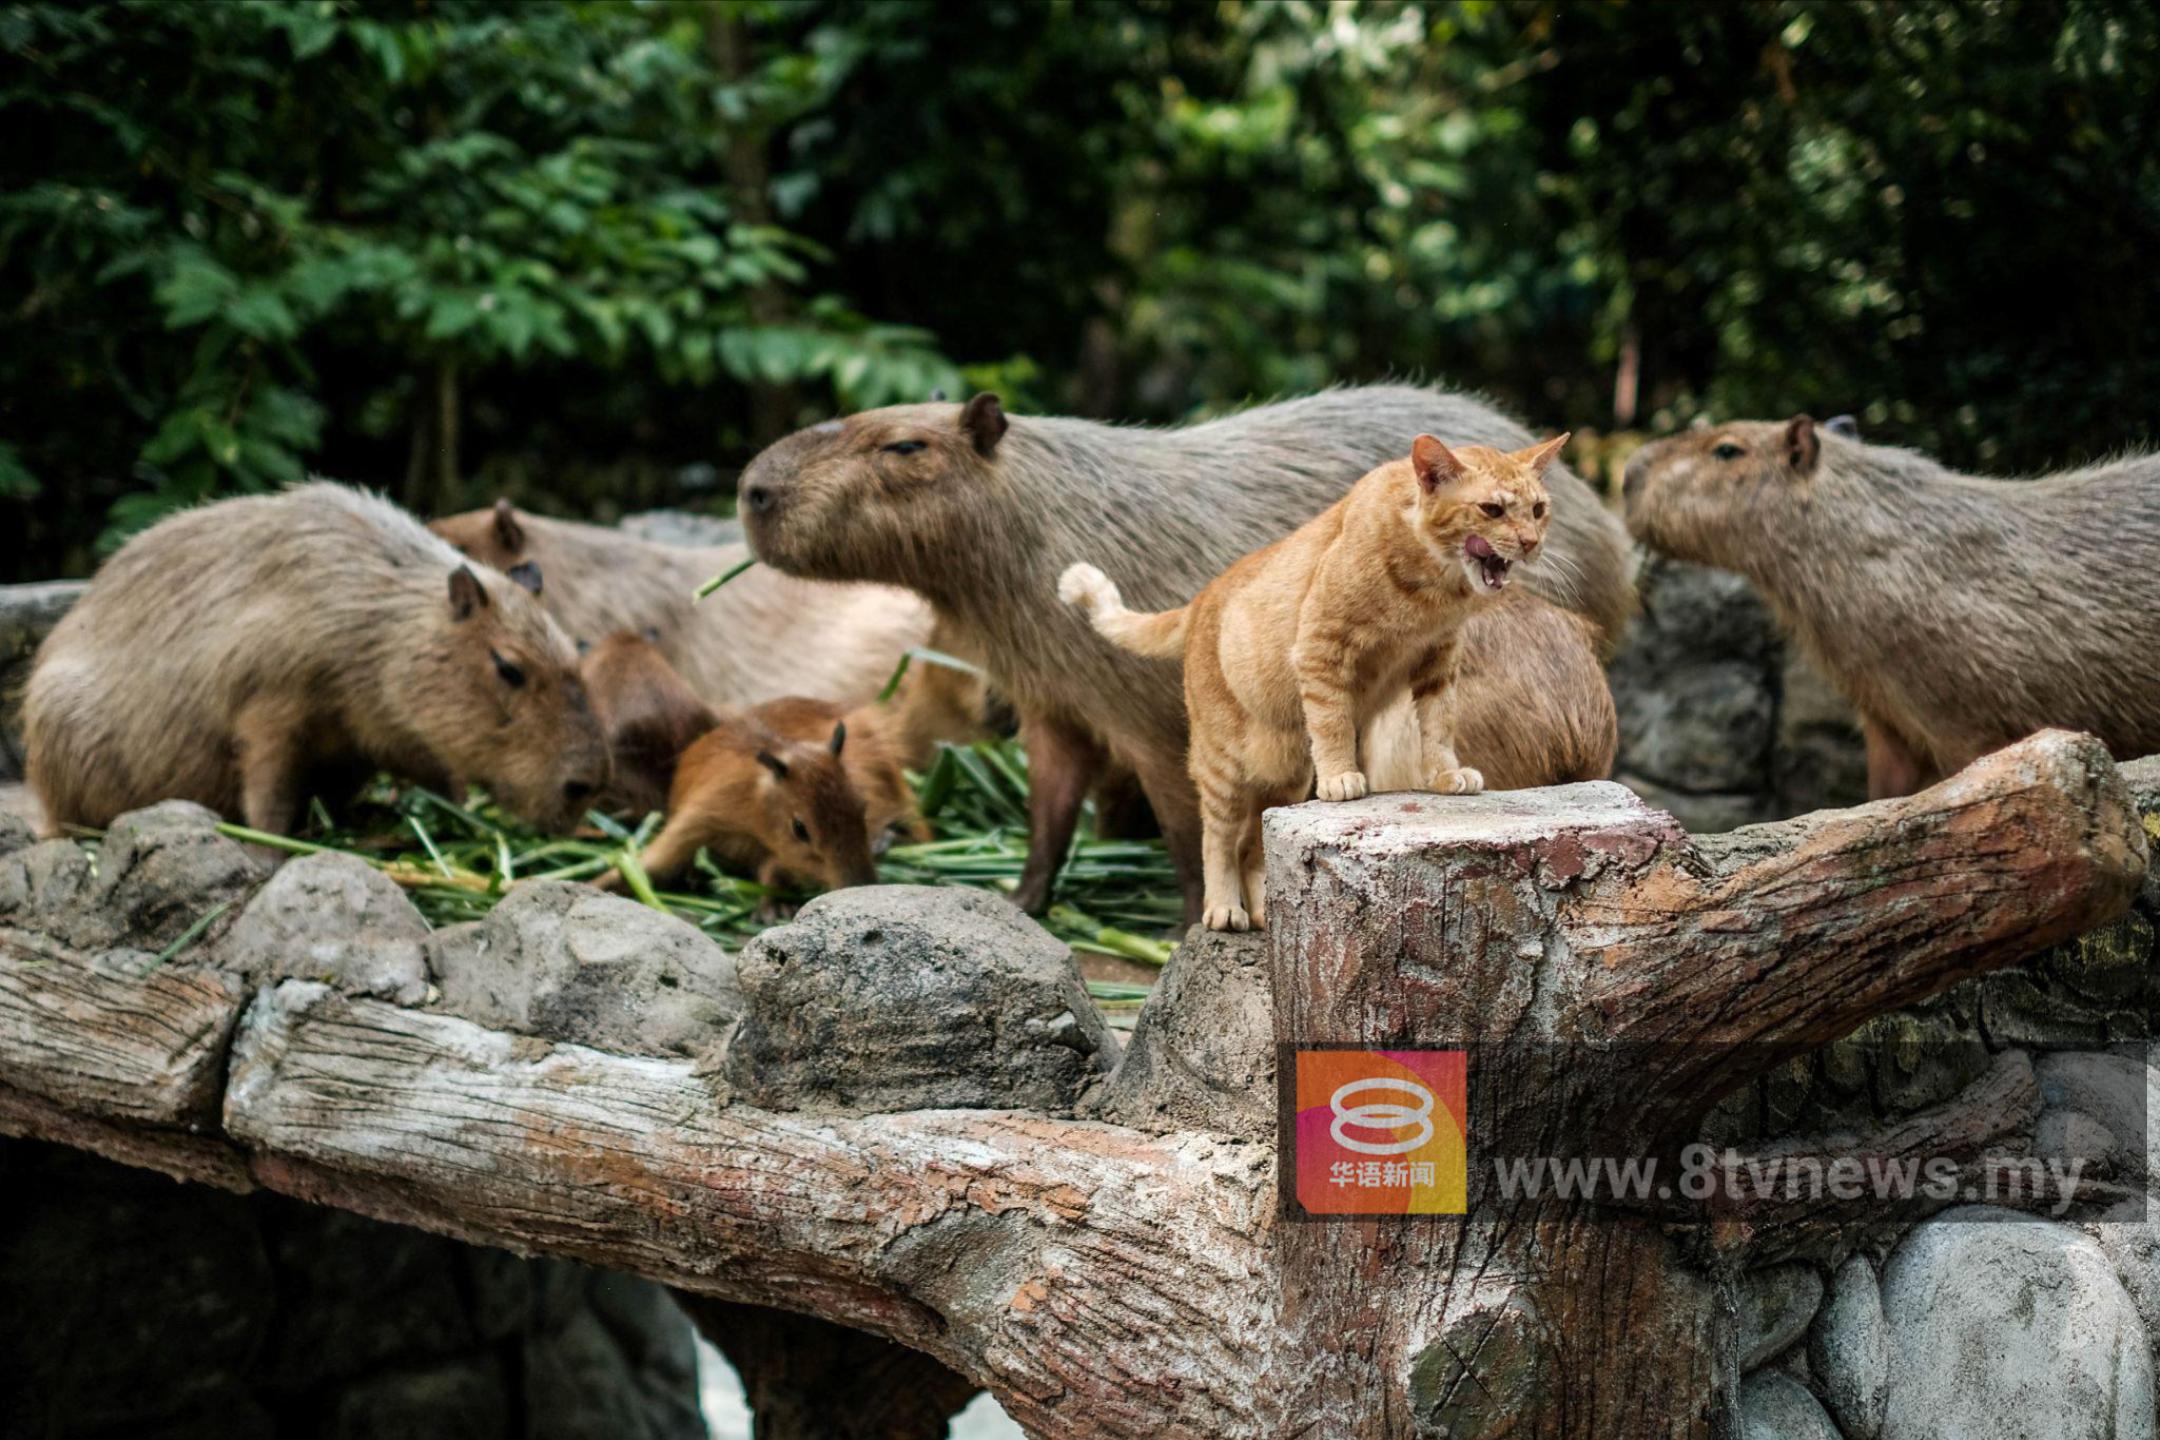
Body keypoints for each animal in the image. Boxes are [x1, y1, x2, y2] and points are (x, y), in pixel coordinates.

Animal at [1058, 436, 1555, 936]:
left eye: (1537, 509)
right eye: (1492, 509)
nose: (1531, 543)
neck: (1432, 589)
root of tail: (1200, 599)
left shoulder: (1439, 662)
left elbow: (1438, 727)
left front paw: (1445, 775)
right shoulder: (1323, 648)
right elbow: (1334, 723)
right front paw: (1340, 777)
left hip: (1285, 774)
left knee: (1252, 846)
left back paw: (1265, 913)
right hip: (1223, 766)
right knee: (1217, 838)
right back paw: (1224, 909)